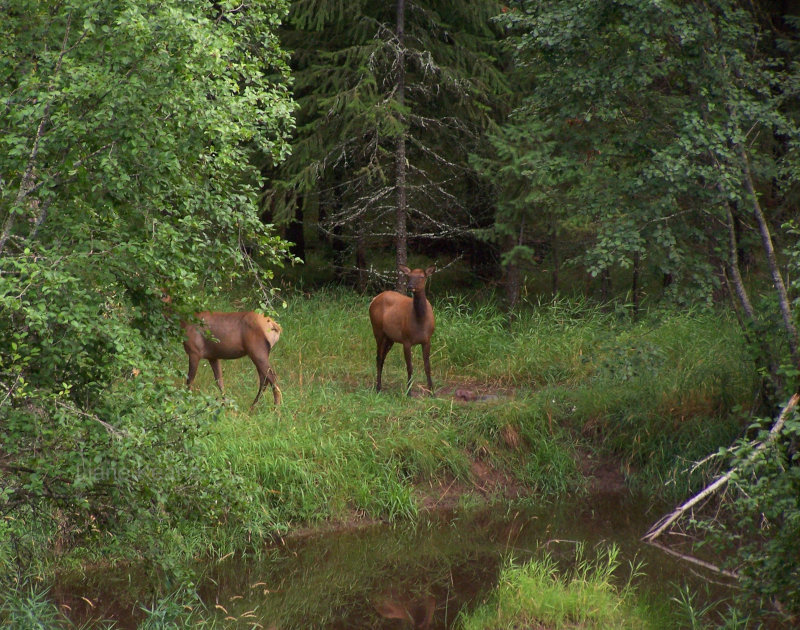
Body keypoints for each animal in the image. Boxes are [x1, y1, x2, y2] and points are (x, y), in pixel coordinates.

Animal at [370, 266, 438, 396]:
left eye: (422, 276)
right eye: (409, 276)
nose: (410, 286)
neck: (420, 321)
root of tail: (374, 299)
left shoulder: (427, 340)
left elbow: (428, 367)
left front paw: (432, 392)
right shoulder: (406, 340)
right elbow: (409, 367)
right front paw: (408, 392)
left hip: (390, 338)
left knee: (382, 357)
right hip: (377, 330)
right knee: (378, 357)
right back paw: (378, 387)